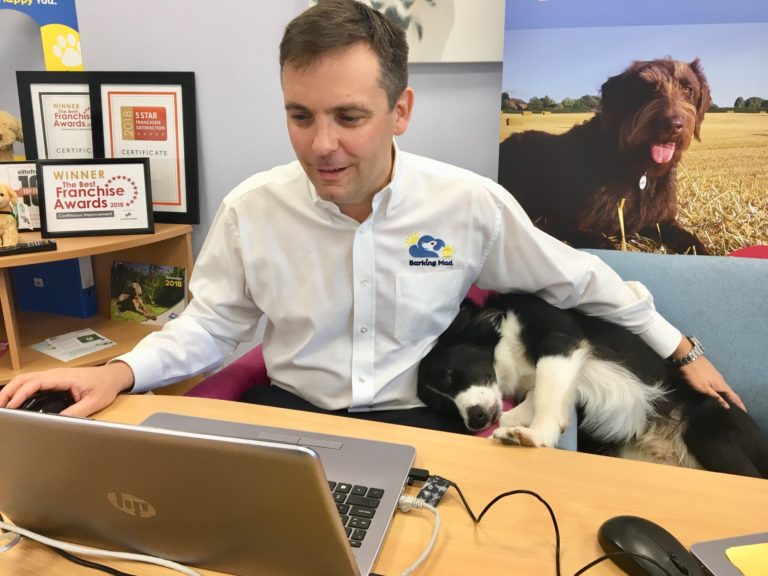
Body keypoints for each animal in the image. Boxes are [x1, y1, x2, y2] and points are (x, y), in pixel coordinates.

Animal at [420, 292, 768, 476]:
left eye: (450, 373)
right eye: (444, 408)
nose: (475, 420)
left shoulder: (560, 340)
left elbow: (544, 393)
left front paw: (535, 435)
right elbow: (527, 402)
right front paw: (517, 426)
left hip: (709, 435)